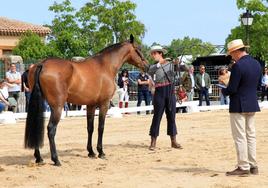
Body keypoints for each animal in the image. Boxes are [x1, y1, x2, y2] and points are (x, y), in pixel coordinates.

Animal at [24, 34, 149, 165]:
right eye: (138, 49)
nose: (147, 66)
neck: (105, 66)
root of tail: (42, 64)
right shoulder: (104, 104)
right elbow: (101, 127)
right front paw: (100, 152)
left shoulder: (91, 105)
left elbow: (90, 128)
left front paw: (91, 152)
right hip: (57, 106)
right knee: (51, 129)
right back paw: (56, 159)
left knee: (37, 126)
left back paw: (39, 158)